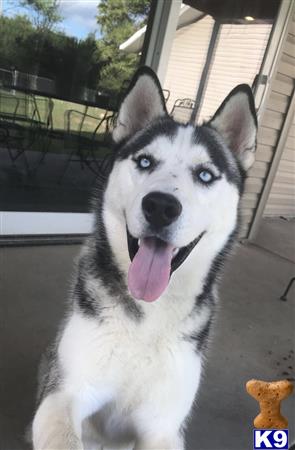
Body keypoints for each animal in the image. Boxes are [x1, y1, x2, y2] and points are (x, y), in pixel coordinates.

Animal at [32, 67, 258, 450]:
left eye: (205, 174)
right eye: (145, 161)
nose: (161, 206)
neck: (147, 318)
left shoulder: (163, 425)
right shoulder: (63, 395)